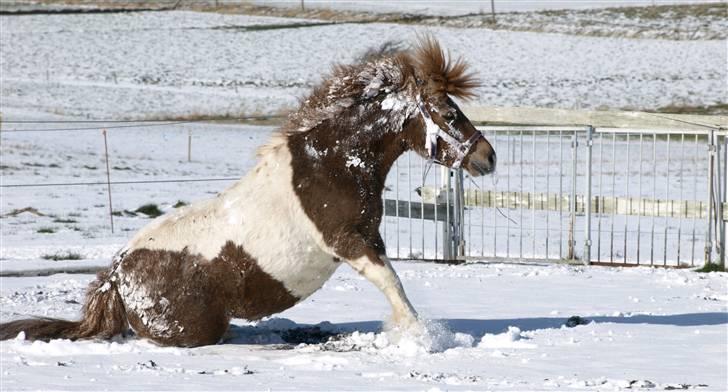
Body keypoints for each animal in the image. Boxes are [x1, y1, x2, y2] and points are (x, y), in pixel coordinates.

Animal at [0, 38, 494, 348]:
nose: (487, 157)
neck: (330, 167)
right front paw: (424, 338)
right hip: (193, 327)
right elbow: (393, 284)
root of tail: (116, 276)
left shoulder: (367, 239)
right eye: (449, 114)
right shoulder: (350, 242)